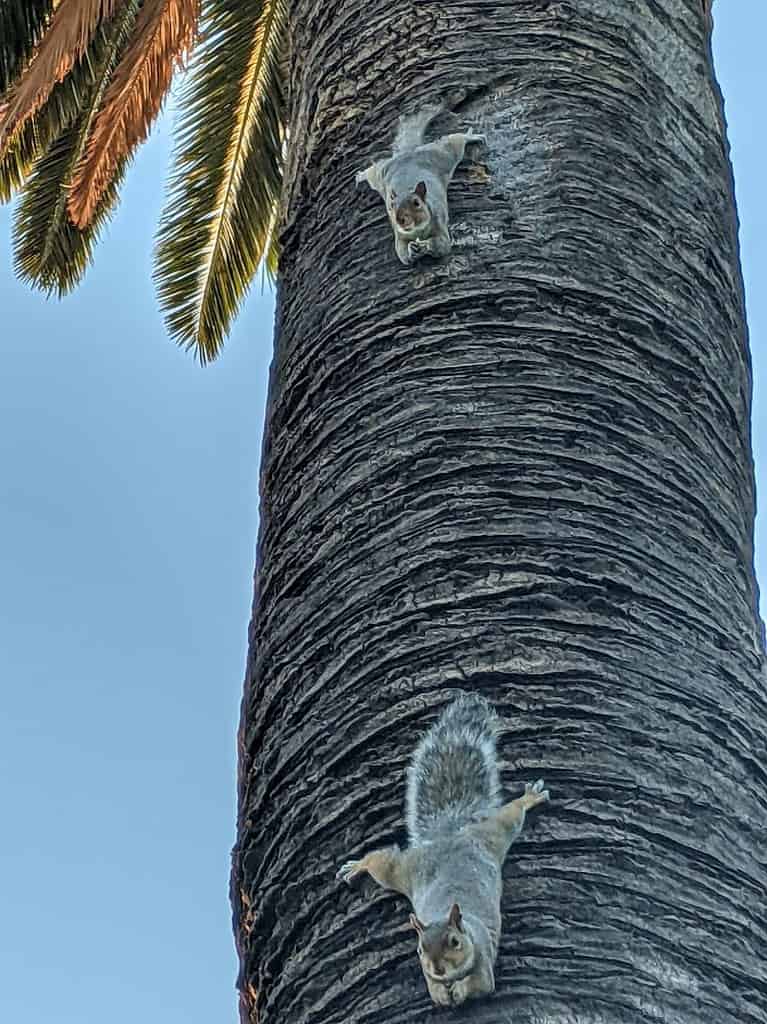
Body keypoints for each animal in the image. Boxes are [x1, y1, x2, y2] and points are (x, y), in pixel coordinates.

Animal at [337, 688, 548, 1007]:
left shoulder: (483, 962)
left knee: (511, 815)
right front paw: (441, 993)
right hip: (404, 870)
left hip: (494, 833)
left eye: (454, 942)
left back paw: (530, 798)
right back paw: (357, 866)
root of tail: (447, 835)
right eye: (419, 949)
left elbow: (480, 987)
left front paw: (459, 991)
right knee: (380, 862)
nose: (437, 968)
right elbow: (434, 991)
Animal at [354, 101, 485, 264]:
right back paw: (361, 175)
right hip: (381, 175)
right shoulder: (399, 236)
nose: (400, 220)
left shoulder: (439, 223)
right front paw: (411, 249)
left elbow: (442, 246)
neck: (417, 231)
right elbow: (402, 254)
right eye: (391, 205)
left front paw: (425, 245)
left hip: (443, 155)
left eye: (417, 203)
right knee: (374, 170)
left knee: (454, 141)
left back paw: (470, 136)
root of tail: (409, 153)